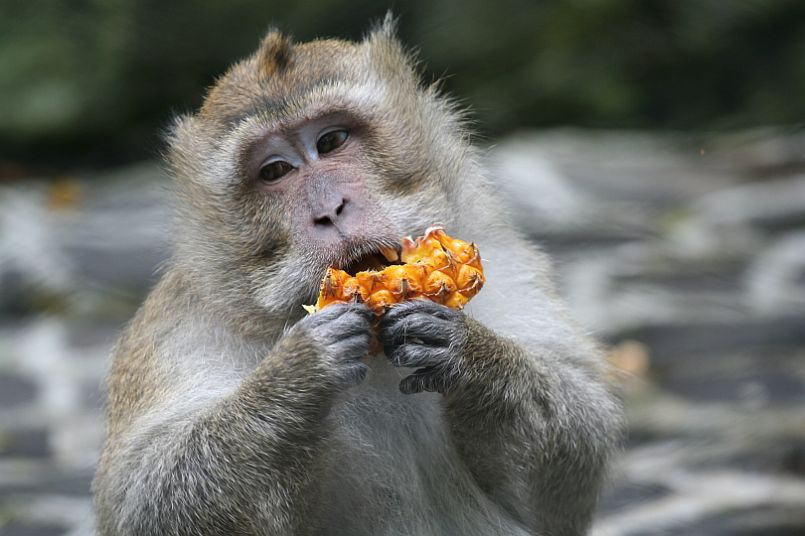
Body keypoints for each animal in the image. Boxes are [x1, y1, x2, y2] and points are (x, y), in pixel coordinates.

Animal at [92, 17, 622, 536]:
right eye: (275, 171)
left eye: (331, 142)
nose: (330, 209)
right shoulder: (177, 329)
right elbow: (146, 499)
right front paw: (298, 373)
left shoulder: (511, 263)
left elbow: (571, 456)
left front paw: (467, 354)